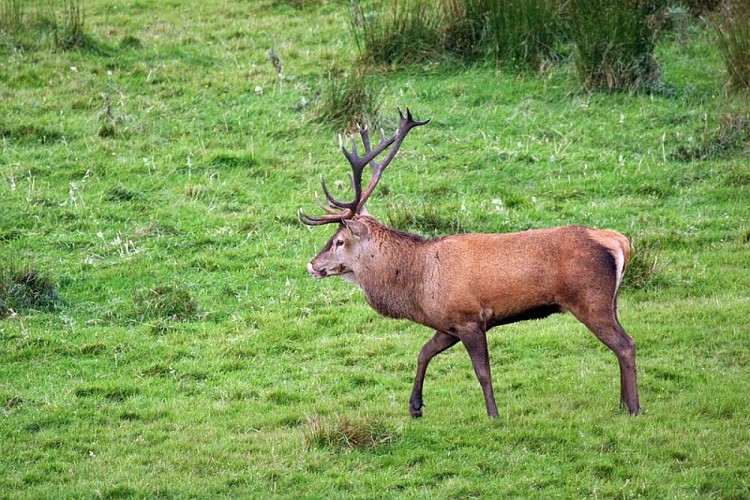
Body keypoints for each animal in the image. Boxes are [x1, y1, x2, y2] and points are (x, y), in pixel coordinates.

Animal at [299, 108, 640, 418]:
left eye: (338, 241)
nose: (312, 265)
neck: (418, 284)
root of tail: (618, 241)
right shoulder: (447, 323)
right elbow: (423, 353)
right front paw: (415, 407)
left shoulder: (469, 318)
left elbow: (482, 372)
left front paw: (493, 414)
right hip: (610, 302)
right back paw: (623, 403)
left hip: (590, 300)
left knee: (625, 344)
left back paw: (634, 407)